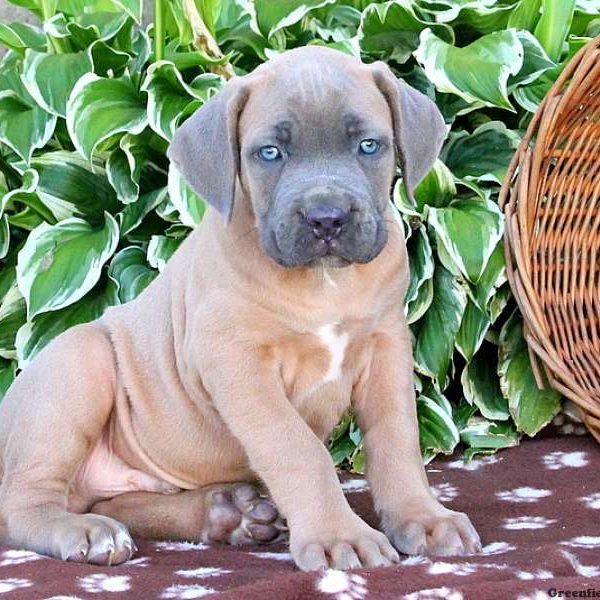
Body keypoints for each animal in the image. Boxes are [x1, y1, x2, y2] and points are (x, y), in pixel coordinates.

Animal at [0, 48, 480, 572]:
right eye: (269, 153)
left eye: (369, 146)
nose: (326, 218)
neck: (324, 282)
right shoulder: (238, 364)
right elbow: (298, 448)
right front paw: (339, 534)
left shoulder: (387, 347)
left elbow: (398, 439)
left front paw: (423, 518)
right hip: (78, 363)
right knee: (22, 503)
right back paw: (87, 531)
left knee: (120, 502)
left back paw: (225, 514)